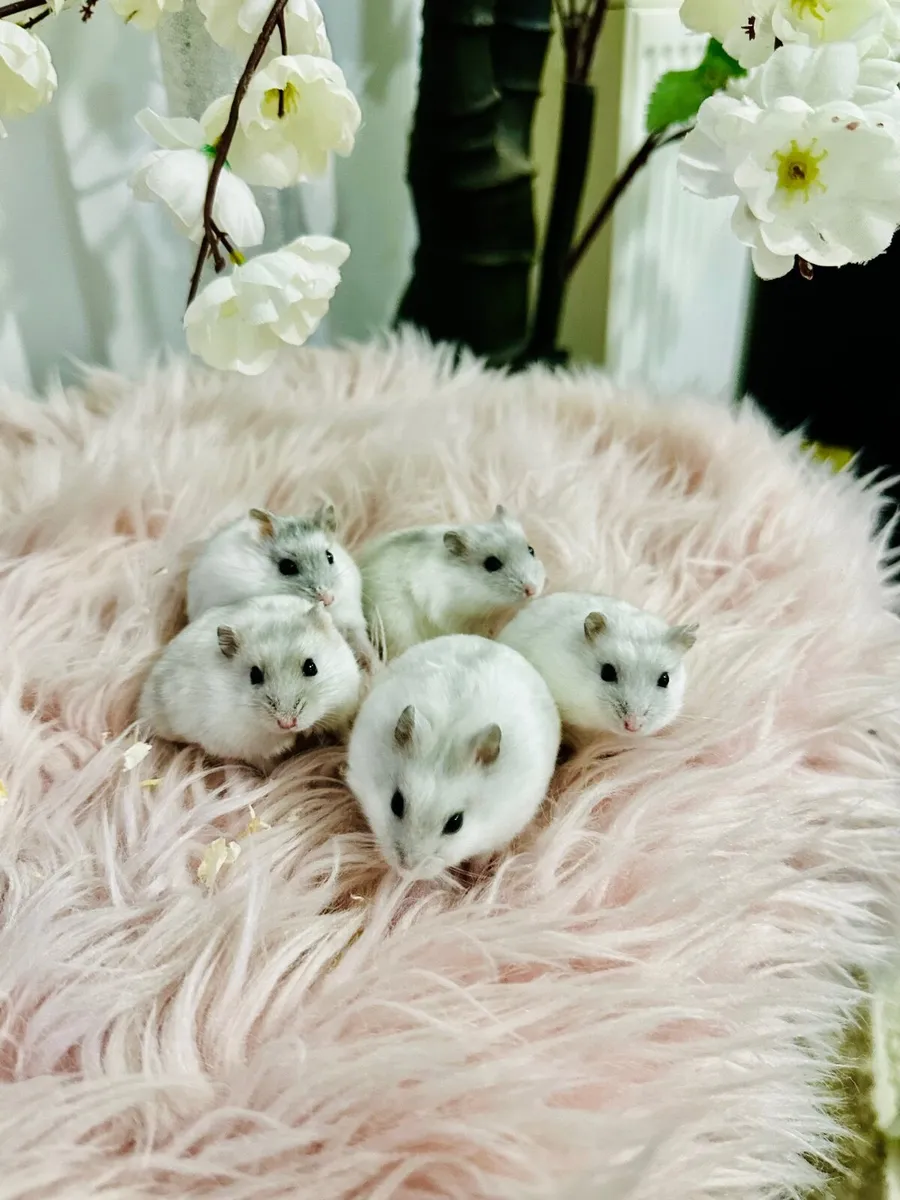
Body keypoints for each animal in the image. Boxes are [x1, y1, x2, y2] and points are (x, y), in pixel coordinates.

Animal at [139, 593, 363, 770]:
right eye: (254, 675)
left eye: (311, 667)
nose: (287, 723)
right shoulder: (246, 744)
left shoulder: (340, 712)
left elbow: (344, 731)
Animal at [186, 503, 376, 670]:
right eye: (287, 567)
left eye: (330, 556)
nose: (328, 599)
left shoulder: (351, 617)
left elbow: (359, 638)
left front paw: (373, 666)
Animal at [345, 634, 561, 878]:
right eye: (396, 803)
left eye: (456, 823)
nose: (406, 870)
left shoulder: (502, 830)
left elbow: (482, 855)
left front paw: (473, 878)